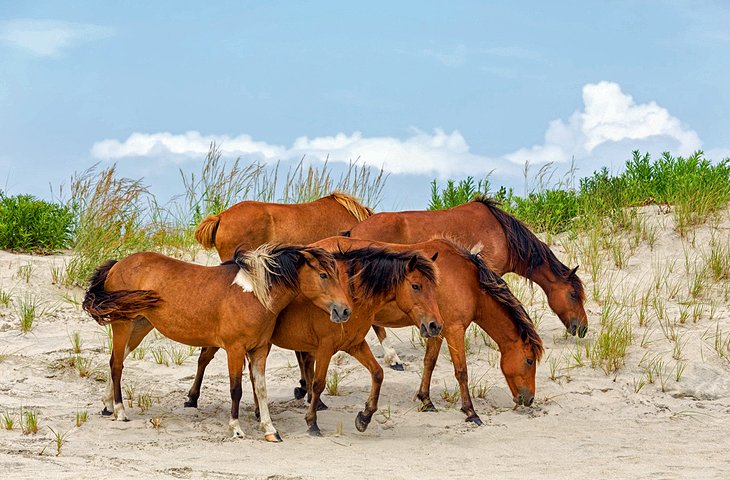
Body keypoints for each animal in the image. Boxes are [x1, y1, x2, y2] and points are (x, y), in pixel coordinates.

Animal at [82, 244, 350, 442]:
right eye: (323, 275)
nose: (344, 310)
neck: (254, 294)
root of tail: (118, 264)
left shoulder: (260, 350)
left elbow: (261, 390)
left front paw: (270, 430)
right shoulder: (235, 349)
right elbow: (236, 389)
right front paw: (236, 428)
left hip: (140, 325)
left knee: (116, 360)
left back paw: (107, 405)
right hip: (122, 323)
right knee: (117, 365)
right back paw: (120, 411)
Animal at [182, 238, 444, 436]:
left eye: (435, 287)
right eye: (416, 286)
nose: (435, 325)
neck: (352, 295)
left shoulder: (355, 344)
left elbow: (378, 373)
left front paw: (364, 417)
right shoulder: (326, 346)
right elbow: (319, 383)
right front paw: (312, 422)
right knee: (204, 359)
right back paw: (192, 399)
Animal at [294, 238, 540, 426]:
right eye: (529, 361)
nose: (529, 399)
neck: (468, 280)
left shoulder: (436, 329)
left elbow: (429, 362)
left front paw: (426, 400)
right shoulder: (454, 329)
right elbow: (461, 371)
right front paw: (471, 412)